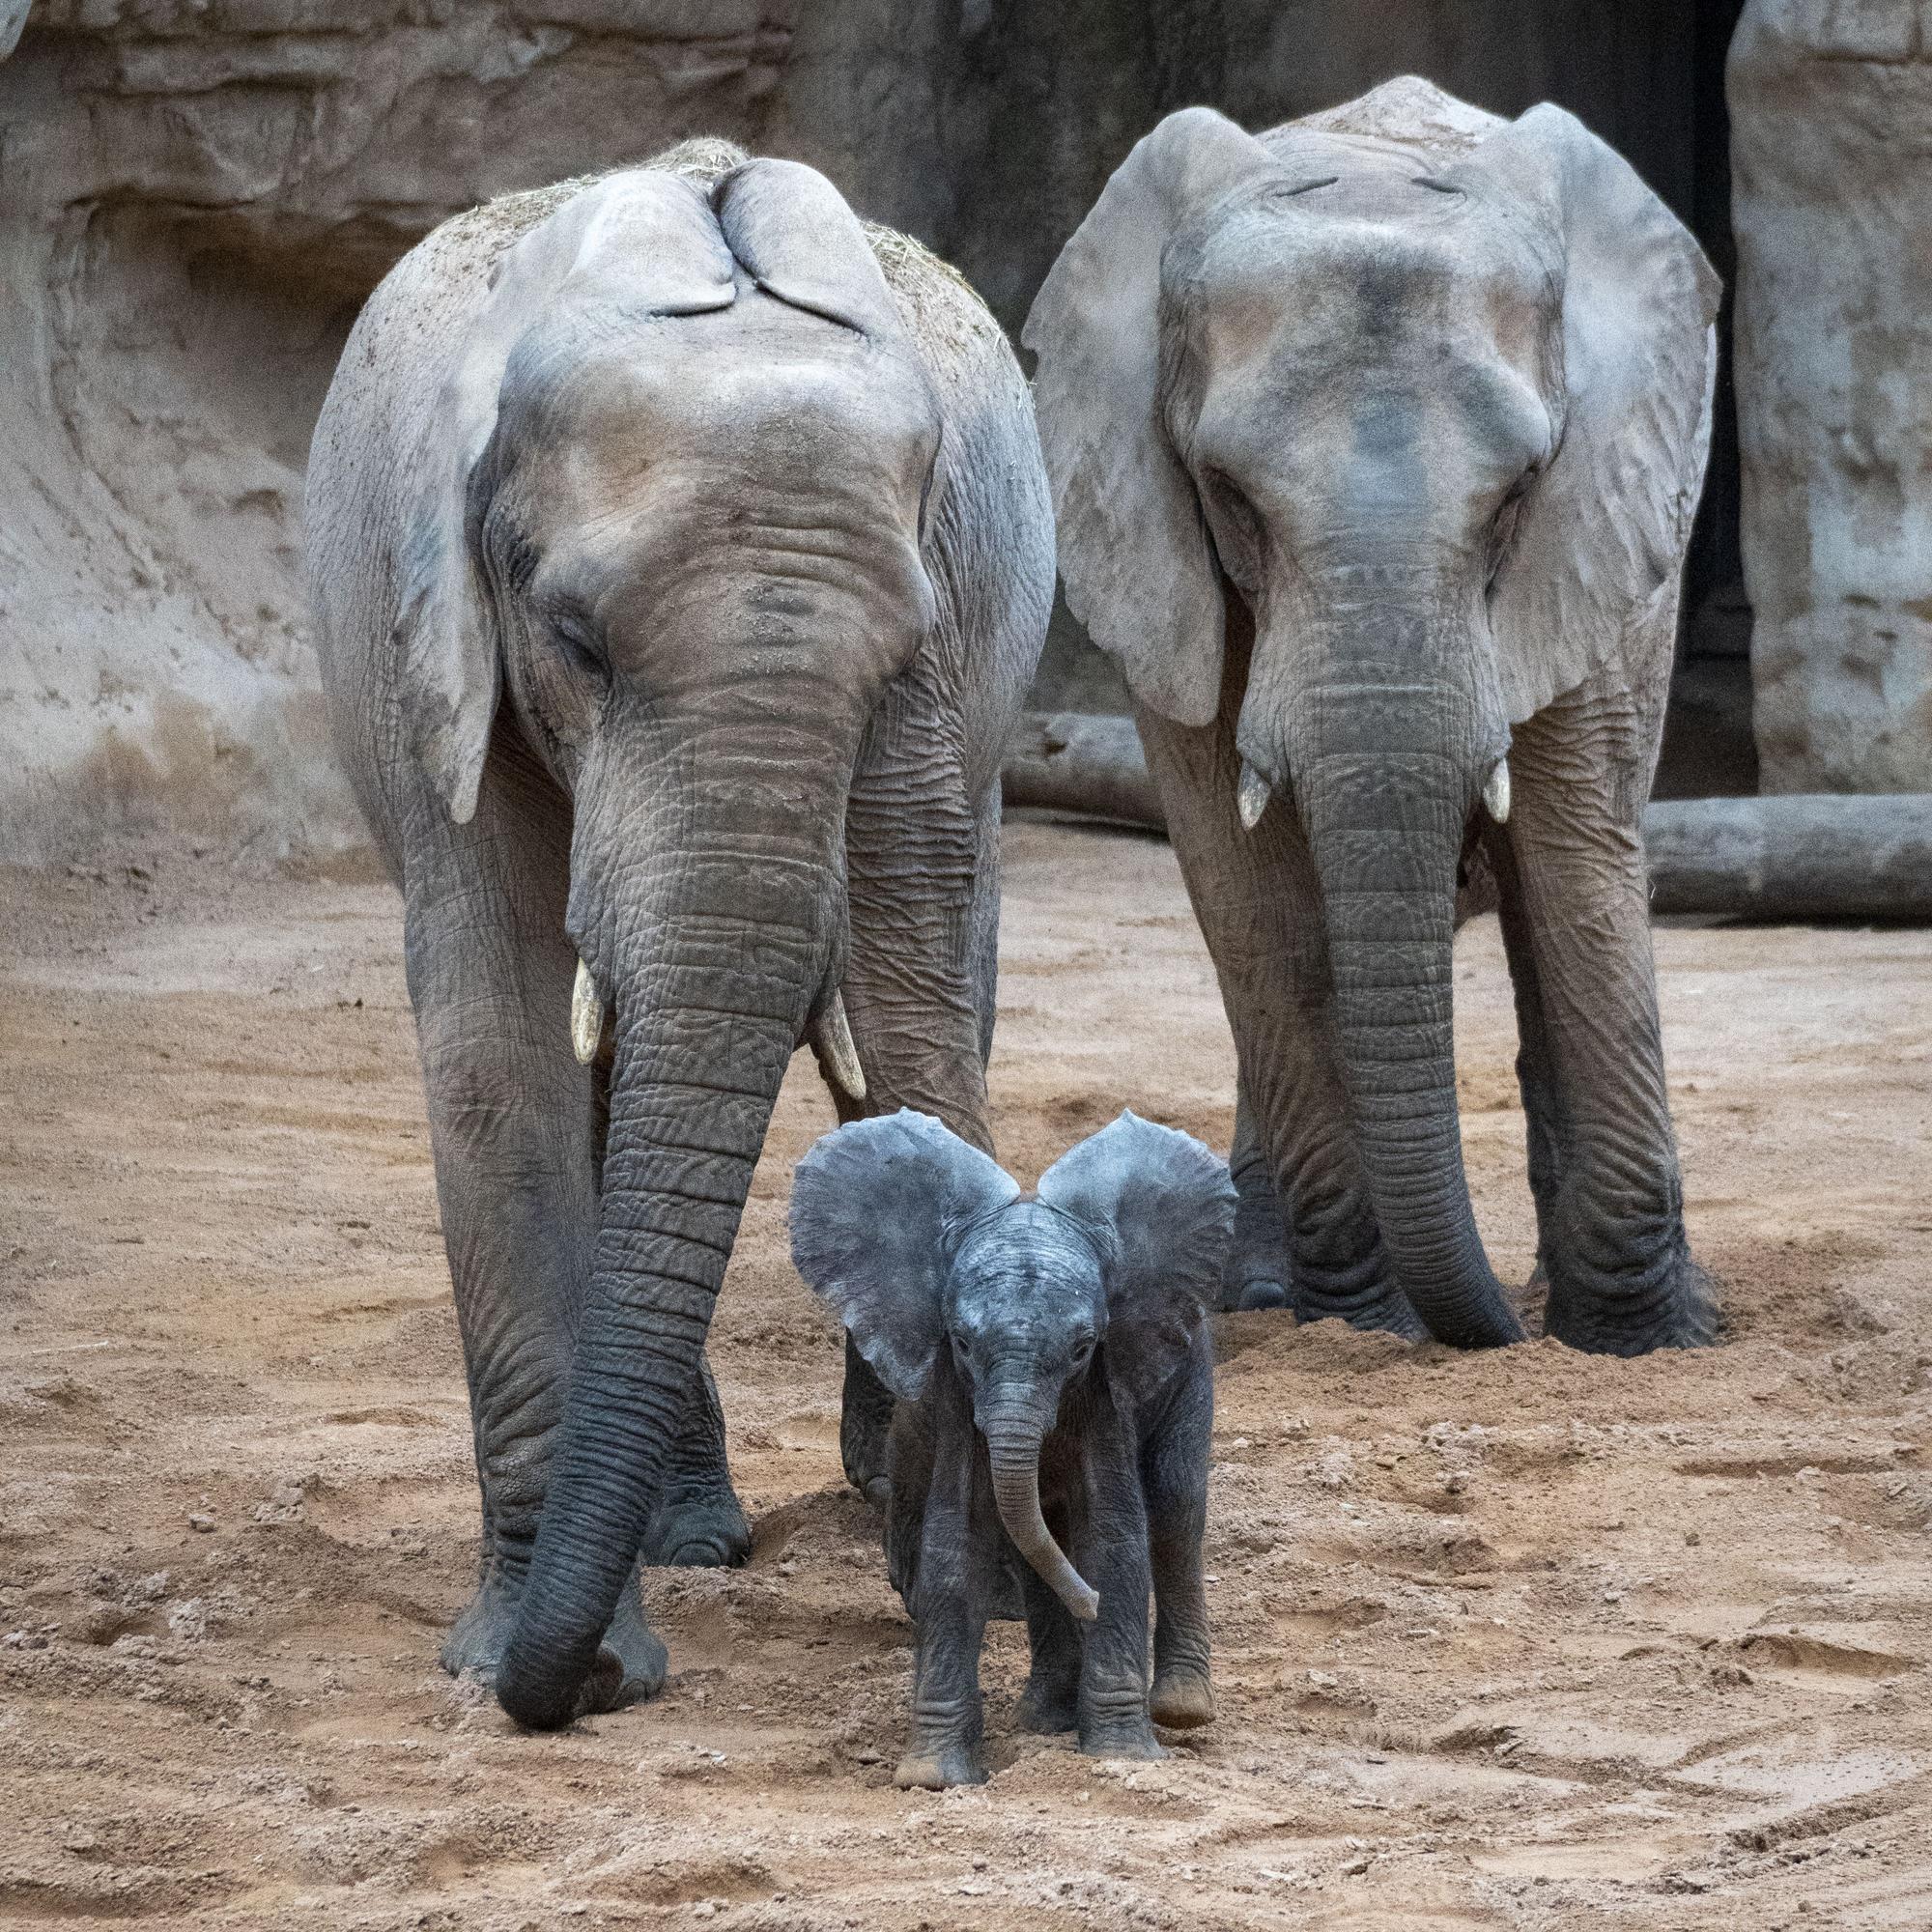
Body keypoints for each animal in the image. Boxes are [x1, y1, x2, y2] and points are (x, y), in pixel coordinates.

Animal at [307, 143, 1051, 1731]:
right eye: (577, 643)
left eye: (895, 661)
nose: (561, 1686)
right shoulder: (435, 660)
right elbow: (500, 1047)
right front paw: (543, 1662)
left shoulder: (943, 663)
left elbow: (909, 1020)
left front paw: (986, 1582)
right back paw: (692, 1536)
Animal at [788, 1113, 1229, 1785]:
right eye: (963, 1343)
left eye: (1082, 1348)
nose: (1089, 1604)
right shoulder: (955, 1395)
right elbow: (958, 1543)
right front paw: (933, 1778)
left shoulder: (1108, 1384)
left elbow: (1114, 1537)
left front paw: (1122, 1756)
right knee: (1036, 1542)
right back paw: (1045, 1720)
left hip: (1188, 1359)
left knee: (1176, 1509)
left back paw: (1180, 1709)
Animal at [1028, 79, 1723, 1360]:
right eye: (1228, 496)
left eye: (1517, 494)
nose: (1496, 1336)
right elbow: (1246, 892)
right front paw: (1355, 1325)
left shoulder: (1596, 537)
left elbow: (1576, 870)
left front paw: (1643, 1341)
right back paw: (1260, 1292)